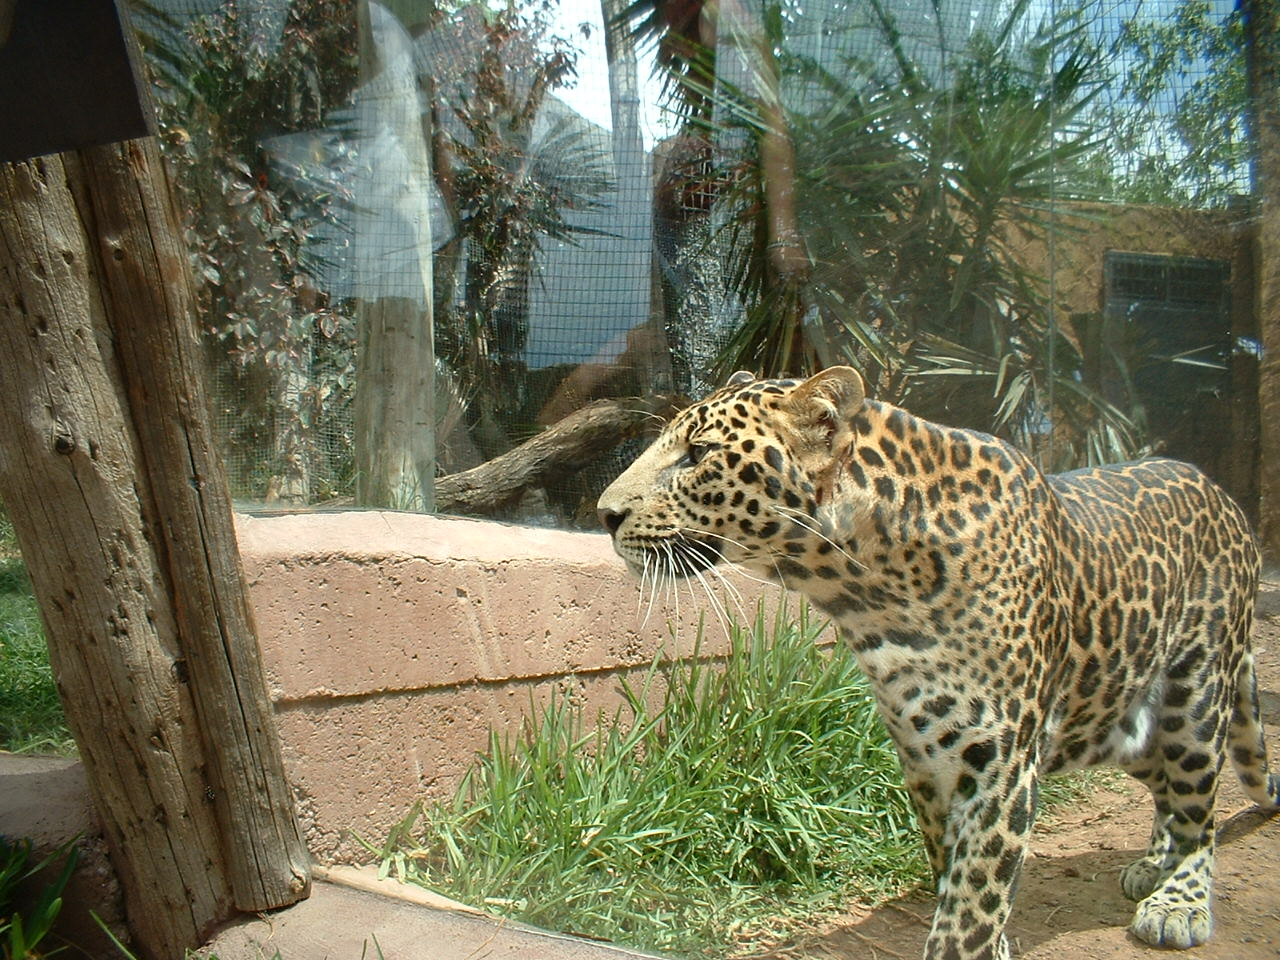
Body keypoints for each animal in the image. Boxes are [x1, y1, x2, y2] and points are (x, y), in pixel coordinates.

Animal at [597, 365, 1280, 960]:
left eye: (697, 454)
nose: (605, 513)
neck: (866, 590)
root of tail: (1221, 492)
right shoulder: (923, 750)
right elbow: (951, 867)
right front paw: (995, 941)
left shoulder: (1002, 759)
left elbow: (974, 894)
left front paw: (975, 941)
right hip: (1115, 718)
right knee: (1164, 783)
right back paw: (1153, 861)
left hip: (1194, 698)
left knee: (1199, 807)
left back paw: (1178, 898)